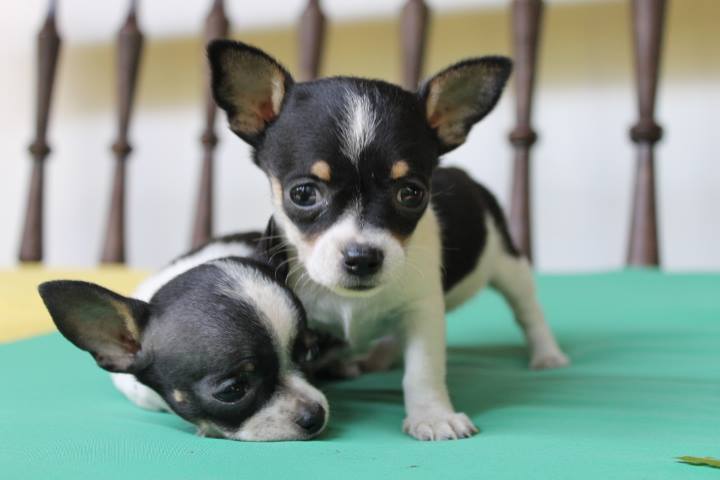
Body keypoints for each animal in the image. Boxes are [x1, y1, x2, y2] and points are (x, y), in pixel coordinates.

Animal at [207, 42, 568, 442]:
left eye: (411, 193)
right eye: (303, 194)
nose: (362, 257)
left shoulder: (422, 311)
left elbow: (423, 369)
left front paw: (433, 416)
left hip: (508, 264)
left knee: (528, 311)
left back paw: (547, 355)